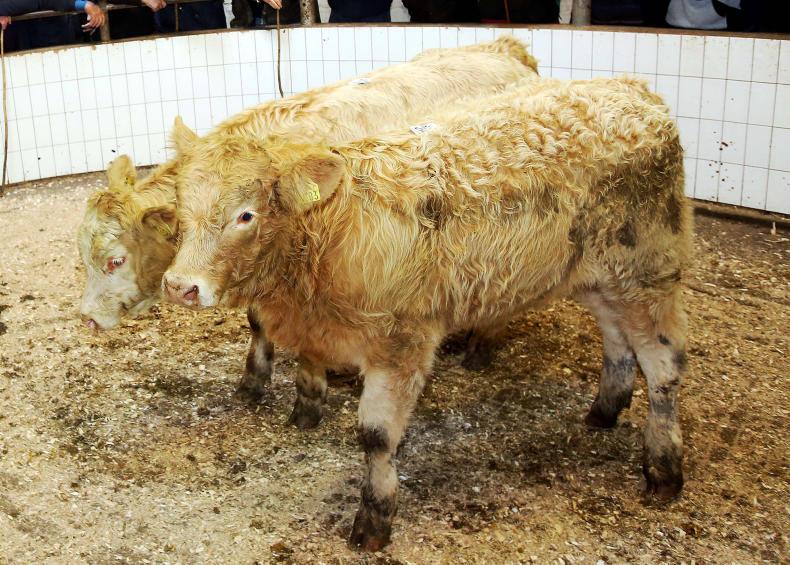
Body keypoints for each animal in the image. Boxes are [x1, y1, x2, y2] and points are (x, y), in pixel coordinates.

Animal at [77, 37, 540, 426]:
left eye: (115, 260)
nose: (87, 319)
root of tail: (507, 48)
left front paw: (308, 398)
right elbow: (258, 323)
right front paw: (254, 380)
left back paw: (480, 345)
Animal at [163, 76, 692, 550]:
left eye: (245, 214)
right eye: (181, 207)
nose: (179, 286)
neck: (335, 232)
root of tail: (635, 91)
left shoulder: (401, 343)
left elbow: (376, 436)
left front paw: (375, 518)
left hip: (649, 271)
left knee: (664, 368)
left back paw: (664, 469)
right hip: (600, 277)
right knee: (618, 340)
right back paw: (605, 408)